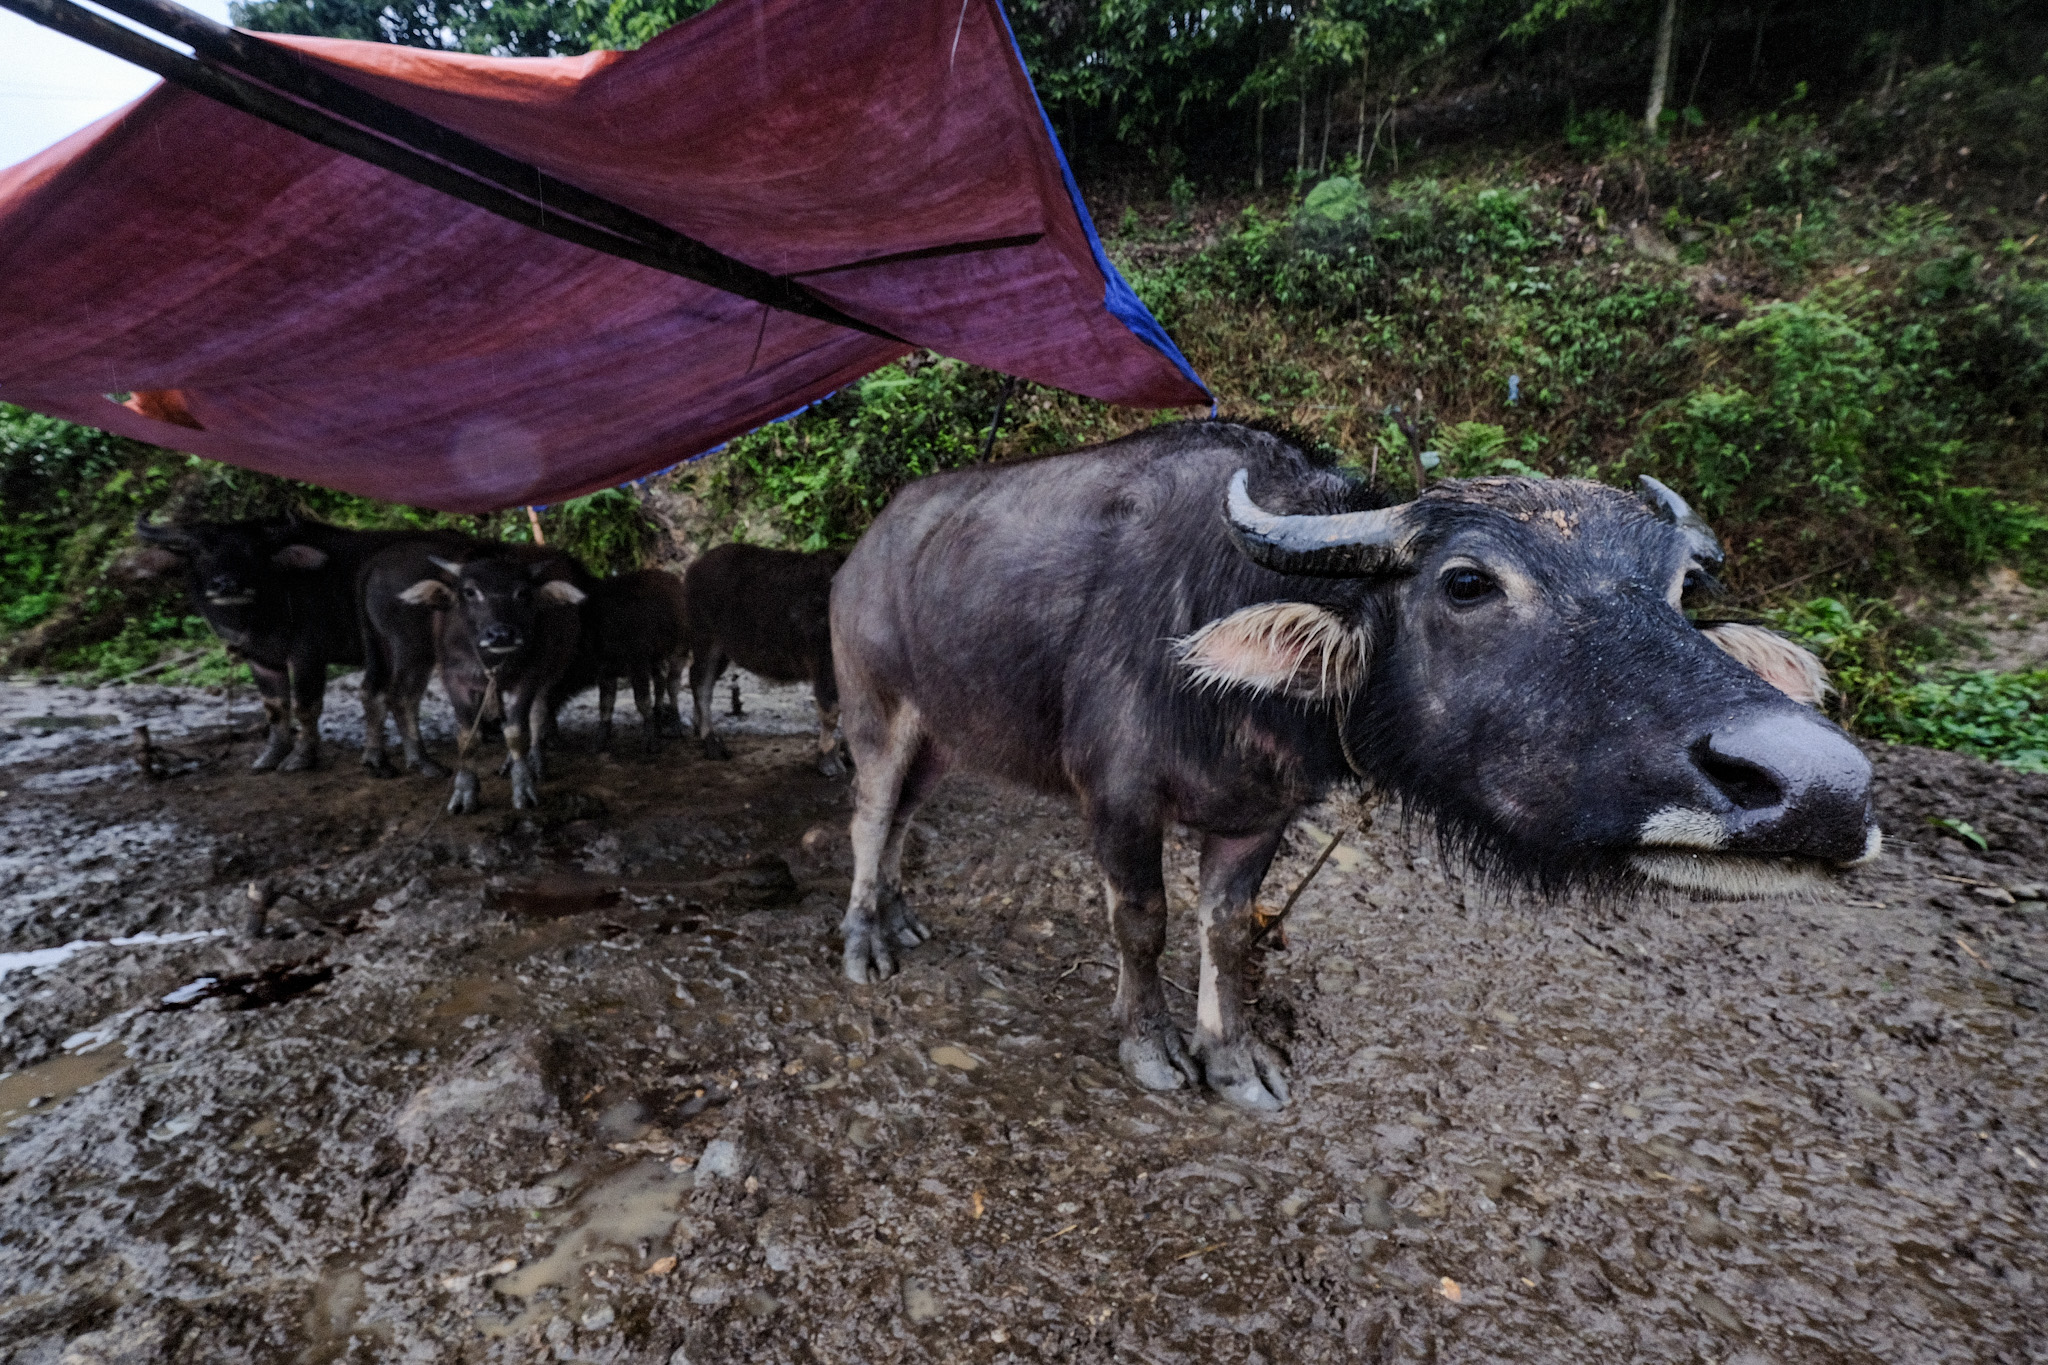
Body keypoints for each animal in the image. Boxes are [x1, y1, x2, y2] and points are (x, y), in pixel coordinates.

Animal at [395, 552, 593, 818]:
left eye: (522, 592)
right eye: (469, 592)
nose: (501, 635)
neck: (492, 660)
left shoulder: (529, 679)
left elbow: (517, 732)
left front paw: (523, 787)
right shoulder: (454, 680)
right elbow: (467, 737)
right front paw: (464, 792)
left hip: (551, 673)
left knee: (537, 715)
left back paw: (534, 761)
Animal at [684, 544, 843, 777]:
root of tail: (694, 568)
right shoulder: (824, 663)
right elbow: (831, 711)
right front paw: (828, 760)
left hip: (724, 651)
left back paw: (697, 729)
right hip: (706, 640)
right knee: (701, 683)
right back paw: (712, 743)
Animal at [827, 423, 1875, 1113]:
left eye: (1680, 589)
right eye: (1467, 581)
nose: (1822, 786)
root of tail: (862, 551)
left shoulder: (1261, 816)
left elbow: (1225, 929)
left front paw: (1233, 1059)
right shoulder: (1115, 799)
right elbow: (1142, 923)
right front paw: (1151, 1047)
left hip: (948, 734)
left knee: (908, 811)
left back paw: (899, 913)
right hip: (876, 706)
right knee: (870, 813)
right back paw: (864, 936)